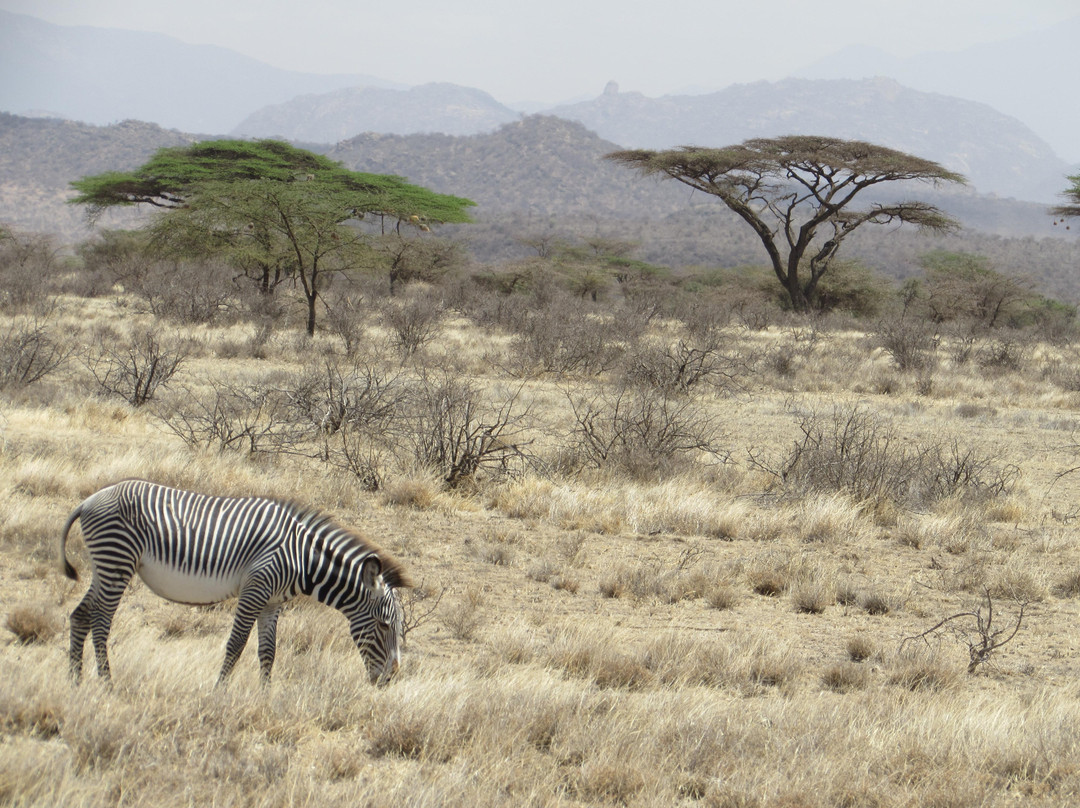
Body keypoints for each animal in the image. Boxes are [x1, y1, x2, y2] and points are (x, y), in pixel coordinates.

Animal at [60, 479, 412, 687]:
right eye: (383, 625)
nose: (391, 679)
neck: (300, 559)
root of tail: (90, 500)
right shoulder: (255, 590)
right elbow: (236, 644)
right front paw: (220, 692)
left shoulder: (272, 602)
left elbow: (268, 650)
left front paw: (265, 697)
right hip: (117, 561)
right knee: (101, 620)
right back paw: (107, 684)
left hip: (106, 566)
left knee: (80, 614)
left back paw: (76, 682)